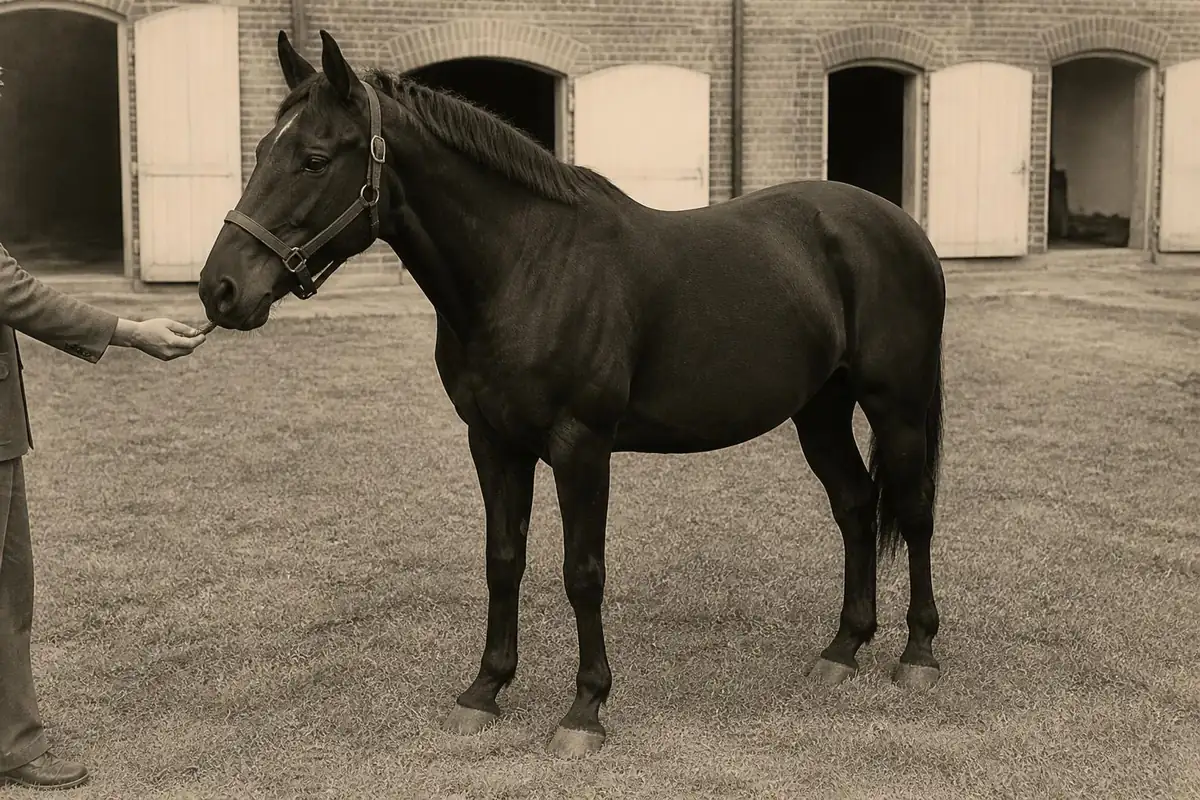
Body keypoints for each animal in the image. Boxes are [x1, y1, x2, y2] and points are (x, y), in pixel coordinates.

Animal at [198, 29, 947, 758]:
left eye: (314, 159)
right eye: (262, 150)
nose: (219, 289)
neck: (528, 266)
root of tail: (901, 226)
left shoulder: (581, 446)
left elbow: (582, 572)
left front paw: (585, 709)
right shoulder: (493, 442)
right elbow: (503, 561)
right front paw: (485, 691)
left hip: (897, 405)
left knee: (913, 512)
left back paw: (917, 653)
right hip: (820, 410)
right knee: (855, 505)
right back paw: (843, 649)